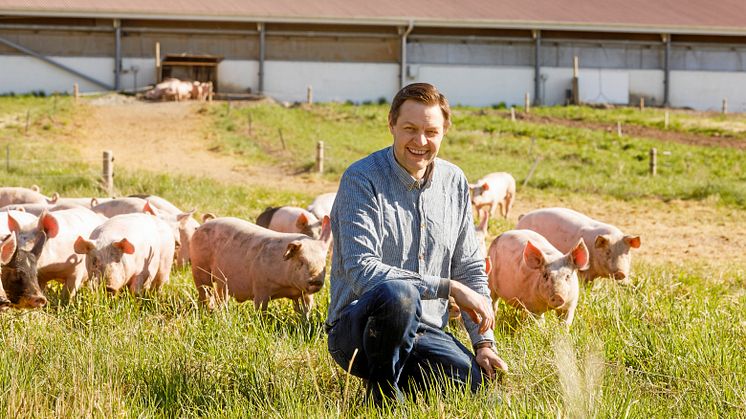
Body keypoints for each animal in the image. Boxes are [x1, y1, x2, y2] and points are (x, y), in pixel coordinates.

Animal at [189, 217, 332, 316]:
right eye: (301, 261)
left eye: (323, 262)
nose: (316, 280)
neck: (289, 286)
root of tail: (200, 227)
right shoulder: (260, 285)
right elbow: (261, 309)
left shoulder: (305, 294)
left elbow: (306, 309)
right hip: (199, 267)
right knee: (205, 292)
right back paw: (207, 311)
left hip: (220, 280)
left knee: (220, 295)